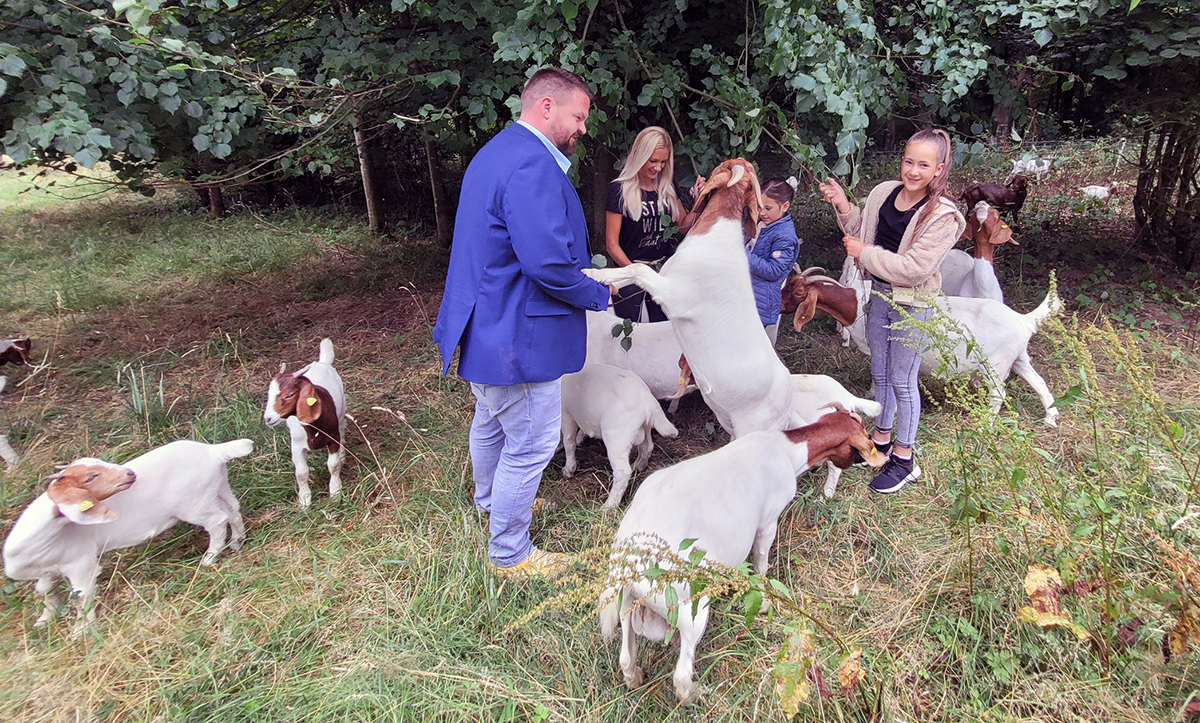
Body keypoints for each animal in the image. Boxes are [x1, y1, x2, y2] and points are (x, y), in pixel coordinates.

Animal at [4, 437, 253, 629]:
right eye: (90, 477)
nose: (129, 474)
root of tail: (213, 452)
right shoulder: (48, 570)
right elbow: (44, 590)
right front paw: (44, 620)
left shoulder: (81, 563)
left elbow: (81, 596)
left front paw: (81, 632)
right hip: (217, 488)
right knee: (232, 510)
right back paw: (236, 542)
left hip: (194, 503)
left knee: (217, 520)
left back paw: (209, 559)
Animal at [266, 338, 348, 506]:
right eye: (268, 395)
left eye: (289, 395)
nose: (268, 418)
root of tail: (321, 362)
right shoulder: (296, 446)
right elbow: (301, 473)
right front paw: (304, 501)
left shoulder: (333, 437)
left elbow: (333, 465)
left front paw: (335, 493)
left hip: (342, 409)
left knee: (343, 428)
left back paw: (343, 455)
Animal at [559, 362, 681, 504]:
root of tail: (648, 402)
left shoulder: (565, 414)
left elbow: (569, 442)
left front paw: (568, 469)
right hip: (644, 427)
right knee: (647, 448)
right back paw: (638, 467)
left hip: (616, 436)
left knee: (622, 471)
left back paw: (609, 505)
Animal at [600, 408, 892, 701]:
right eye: (864, 438)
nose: (876, 458)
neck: (788, 450)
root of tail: (628, 564)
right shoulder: (768, 521)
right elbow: (761, 561)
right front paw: (765, 601)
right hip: (689, 606)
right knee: (681, 675)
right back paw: (699, 693)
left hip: (626, 604)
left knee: (626, 655)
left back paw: (636, 677)